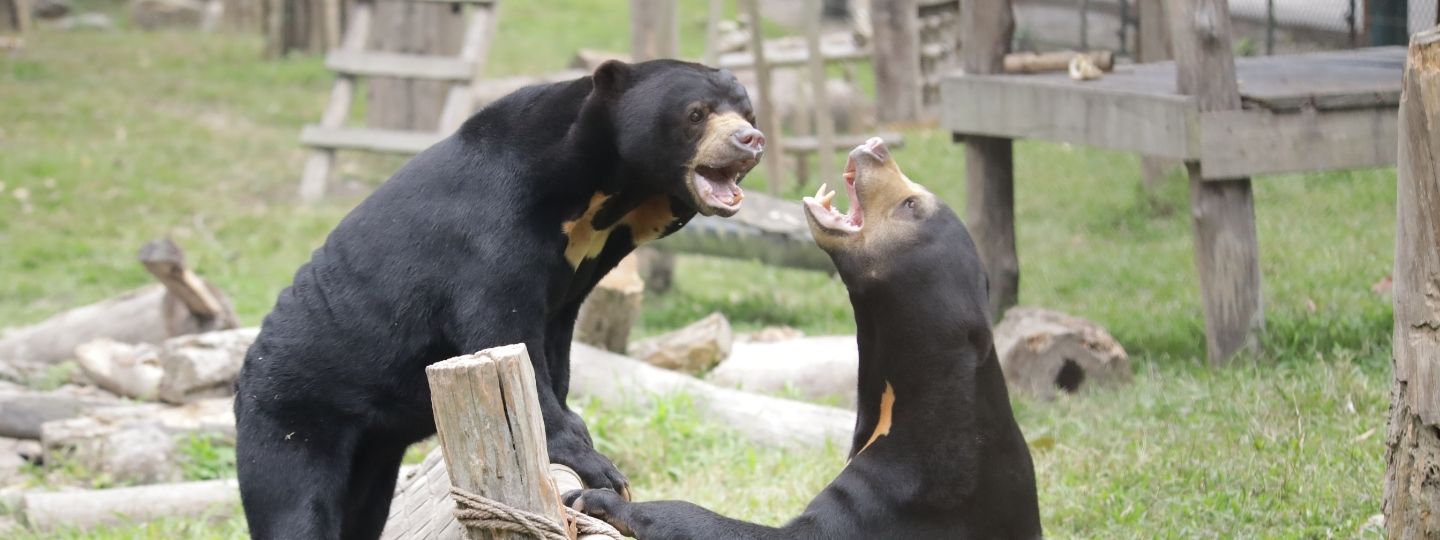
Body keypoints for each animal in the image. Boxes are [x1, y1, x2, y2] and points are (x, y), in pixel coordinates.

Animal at [233, 59, 764, 540]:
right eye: (696, 114)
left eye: (747, 112)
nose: (750, 141)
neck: (600, 201)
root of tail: (246, 374)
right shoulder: (490, 228)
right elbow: (502, 328)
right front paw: (598, 465)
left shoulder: (572, 281)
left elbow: (553, 350)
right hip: (290, 418)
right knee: (293, 509)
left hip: (372, 452)